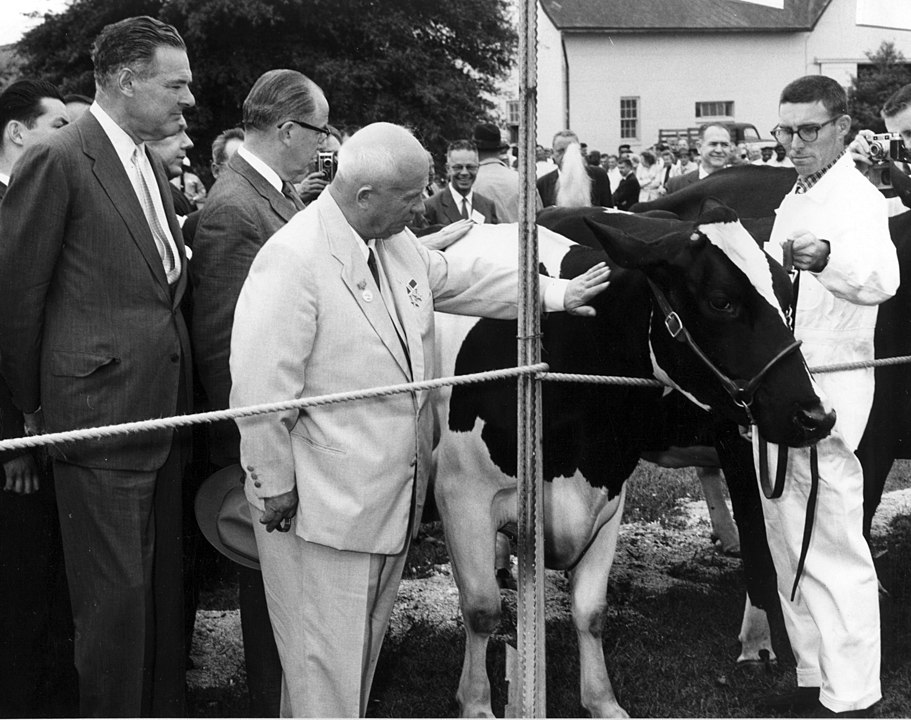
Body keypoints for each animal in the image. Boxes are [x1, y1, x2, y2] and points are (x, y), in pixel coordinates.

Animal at [432, 205, 832, 716]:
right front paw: (477, 703)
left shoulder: (607, 490)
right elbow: (482, 609)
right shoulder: (461, 494)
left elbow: (591, 610)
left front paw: (603, 701)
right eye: (721, 301)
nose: (816, 416)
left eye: (788, 296)